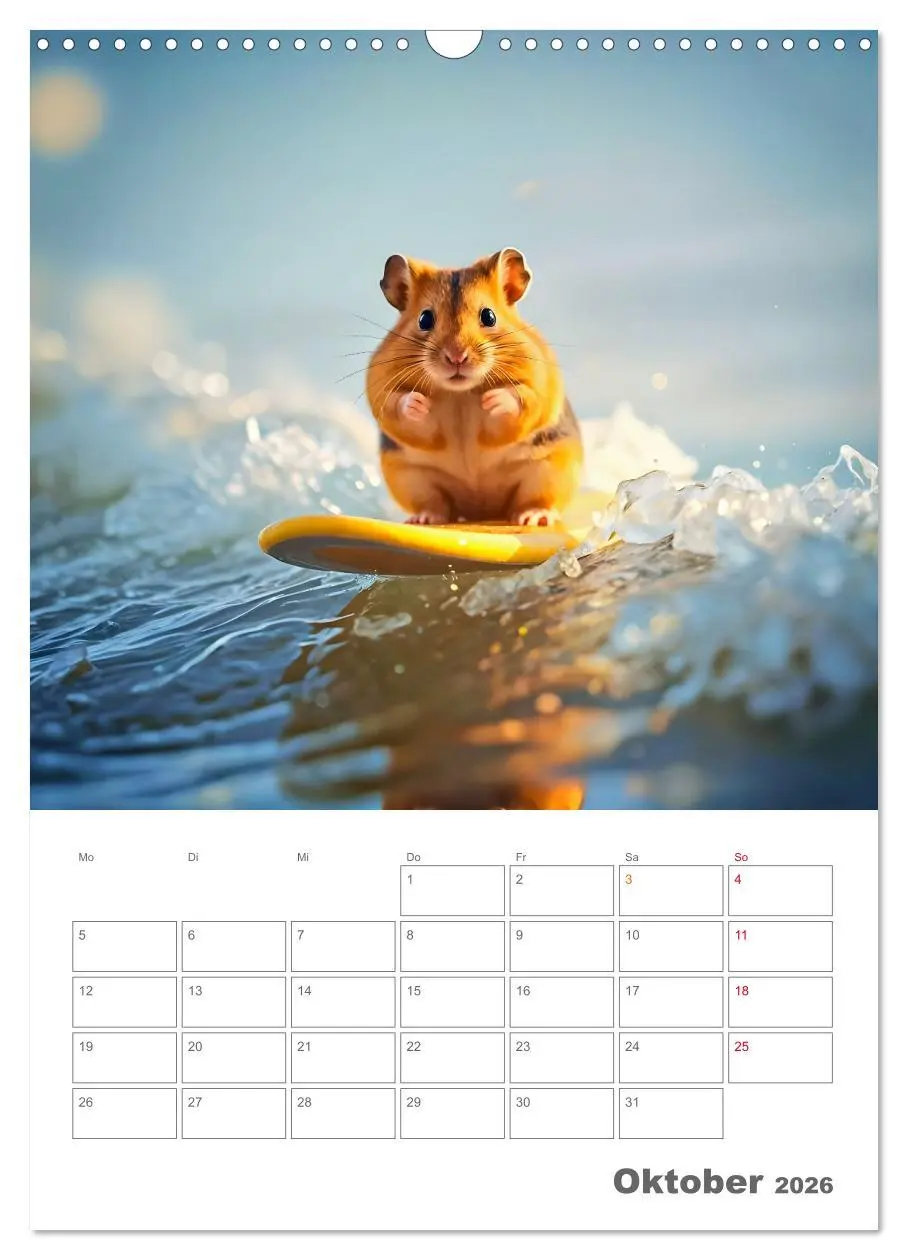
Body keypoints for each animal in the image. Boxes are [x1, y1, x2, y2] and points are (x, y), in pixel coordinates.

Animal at [366, 248, 583, 526]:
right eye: (424, 319)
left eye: (489, 316)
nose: (457, 357)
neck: (461, 392)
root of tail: (481, 511)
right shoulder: (380, 389)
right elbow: (399, 406)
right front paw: (418, 403)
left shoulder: (538, 387)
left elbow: (519, 400)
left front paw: (492, 399)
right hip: (411, 478)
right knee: (437, 506)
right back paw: (423, 519)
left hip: (549, 470)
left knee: (532, 501)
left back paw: (533, 517)